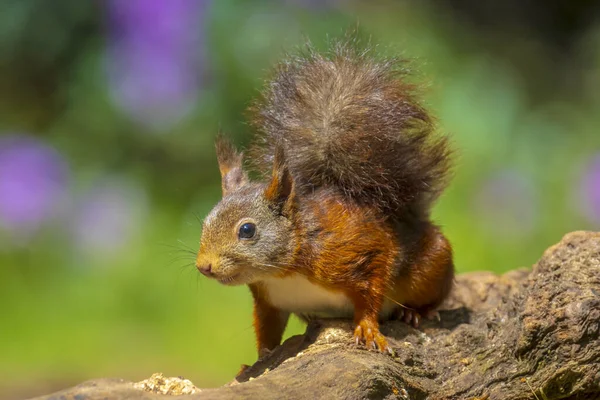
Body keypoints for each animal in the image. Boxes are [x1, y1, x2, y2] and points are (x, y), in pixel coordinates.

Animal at [197, 39, 454, 354]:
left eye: (247, 230)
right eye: (205, 222)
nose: (204, 266)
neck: (284, 269)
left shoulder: (360, 249)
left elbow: (372, 291)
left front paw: (369, 329)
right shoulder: (269, 299)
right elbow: (267, 327)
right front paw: (259, 358)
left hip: (433, 264)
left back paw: (415, 312)